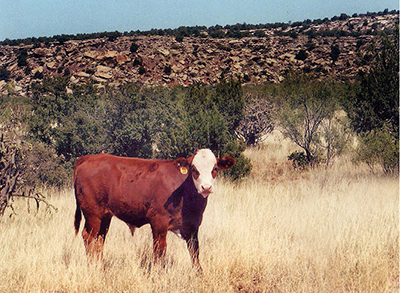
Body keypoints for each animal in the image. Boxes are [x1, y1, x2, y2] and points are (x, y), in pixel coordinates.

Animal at [74, 149, 234, 270]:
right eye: (194, 169)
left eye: (215, 169)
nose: (206, 187)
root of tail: (87, 158)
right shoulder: (159, 222)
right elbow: (160, 252)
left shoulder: (193, 226)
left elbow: (195, 252)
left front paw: (199, 274)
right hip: (93, 214)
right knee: (89, 237)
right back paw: (92, 267)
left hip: (105, 216)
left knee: (100, 238)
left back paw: (100, 266)